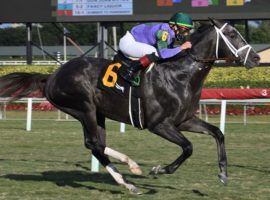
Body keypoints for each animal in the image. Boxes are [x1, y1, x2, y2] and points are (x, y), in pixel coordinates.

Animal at [0, 19, 260, 194]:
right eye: (232, 34)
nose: (256, 58)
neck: (180, 75)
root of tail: (51, 76)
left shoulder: (184, 120)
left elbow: (218, 133)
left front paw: (223, 173)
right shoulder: (159, 124)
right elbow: (188, 148)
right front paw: (158, 170)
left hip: (97, 113)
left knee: (97, 145)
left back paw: (130, 175)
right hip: (84, 108)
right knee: (94, 144)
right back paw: (130, 176)